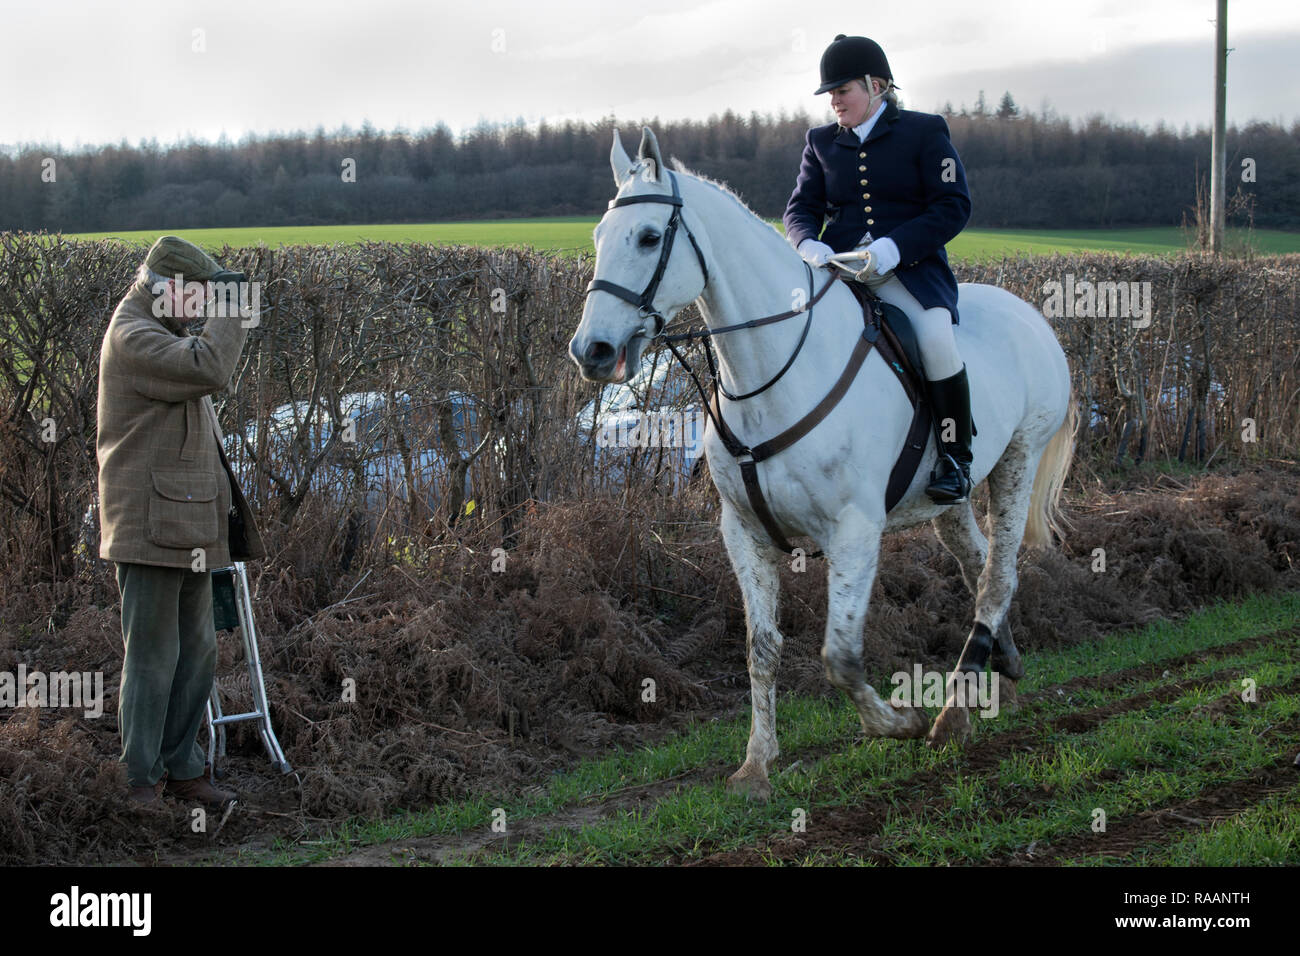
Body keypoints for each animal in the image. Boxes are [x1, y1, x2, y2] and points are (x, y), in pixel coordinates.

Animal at [569, 127, 1077, 800]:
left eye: (650, 237)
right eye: (599, 236)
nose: (591, 351)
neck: (770, 371)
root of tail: (1031, 315)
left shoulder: (854, 531)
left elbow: (839, 656)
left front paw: (900, 723)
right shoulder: (743, 531)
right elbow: (762, 648)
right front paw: (756, 763)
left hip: (1020, 458)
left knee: (999, 575)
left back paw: (951, 714)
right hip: (951, 498)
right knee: (977, 567)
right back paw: (1001, 671)